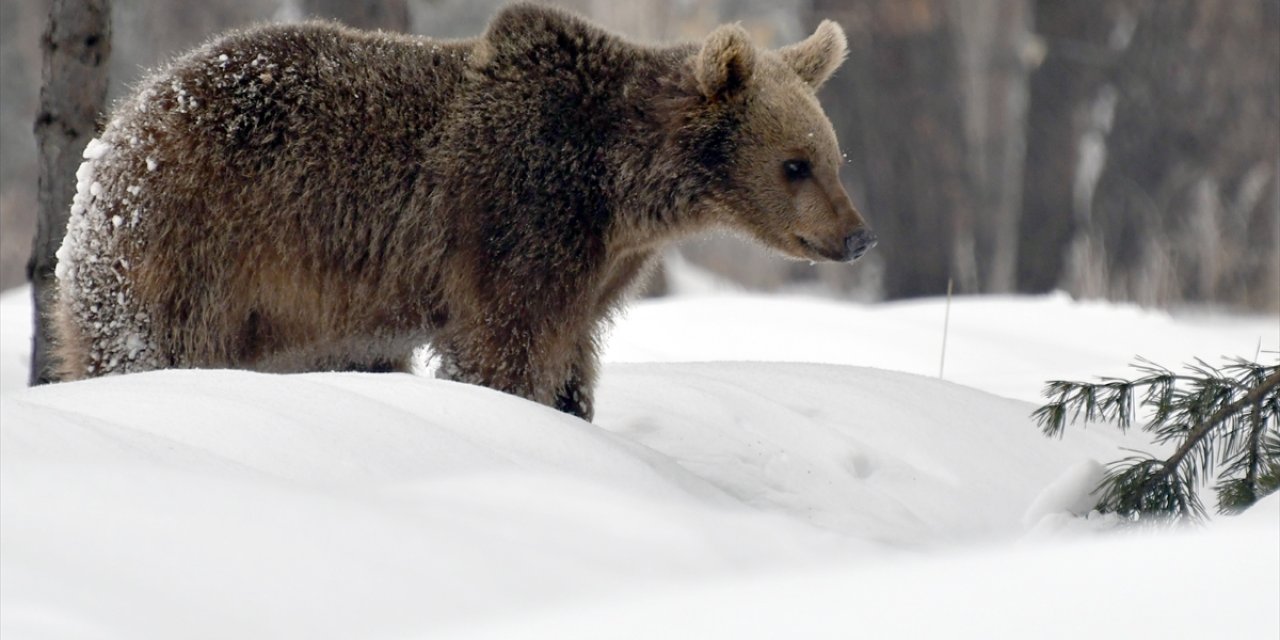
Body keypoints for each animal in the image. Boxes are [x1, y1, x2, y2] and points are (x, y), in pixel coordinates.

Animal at [49, 3, 870, 419]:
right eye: (794, 163)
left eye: (835, 157)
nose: (857, 236)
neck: (620, 188)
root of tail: (121, 124)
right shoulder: (517, 219)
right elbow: (505, 347)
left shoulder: (597, 270)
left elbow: (570, 359)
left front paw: (571, 410)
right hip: (191, 241)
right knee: (146, 343)